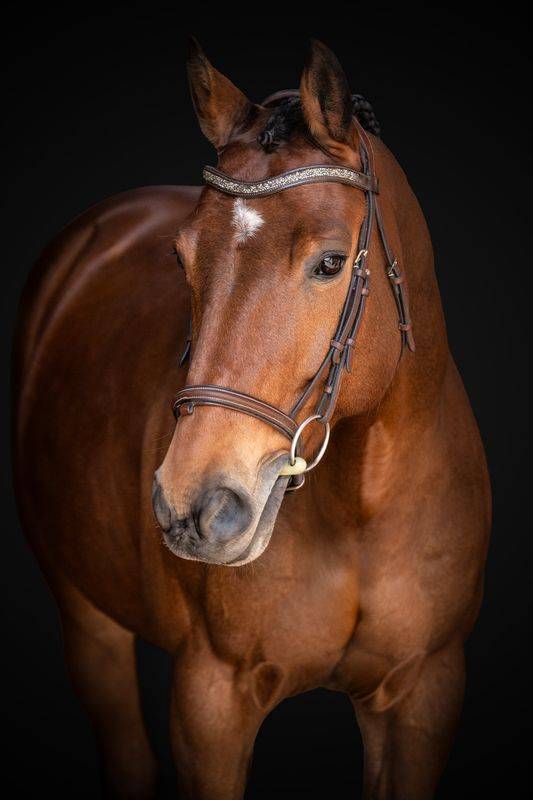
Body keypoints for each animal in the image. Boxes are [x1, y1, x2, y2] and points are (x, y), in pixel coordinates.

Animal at [12, 38, 491, 799]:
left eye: (330, 263)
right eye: (181, 258)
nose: (193, 505)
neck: (360, 507)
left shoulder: (426, 690)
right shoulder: (211, 701)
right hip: (87, 616)